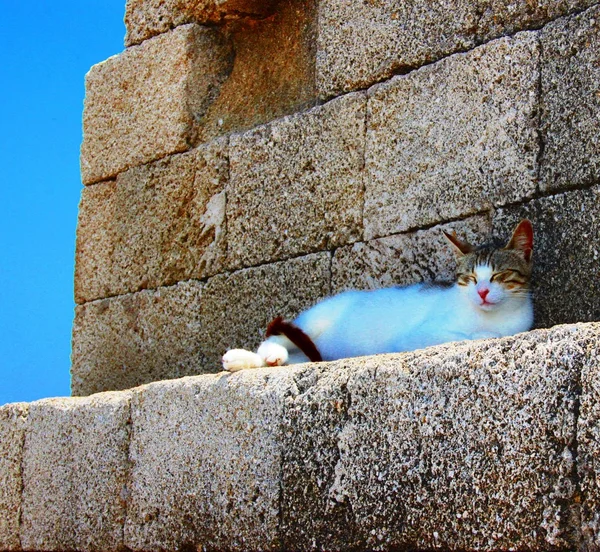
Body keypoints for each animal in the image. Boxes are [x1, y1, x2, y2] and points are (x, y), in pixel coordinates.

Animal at [223, 219, 532, 370]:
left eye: (499, 276)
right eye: (470, 278)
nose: (482, 292)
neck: (491, 317)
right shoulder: (416, 335)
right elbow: (464, 335)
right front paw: (483, 334)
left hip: (317, 353)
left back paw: (248, 361)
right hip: (315, 320)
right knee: (275, 336)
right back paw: (263, 353)